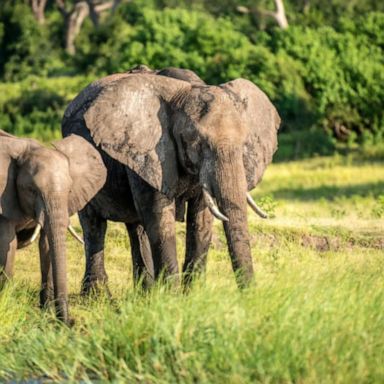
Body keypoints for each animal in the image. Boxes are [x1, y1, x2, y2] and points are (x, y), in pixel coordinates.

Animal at [0, 130, 106, 324]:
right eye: (31, 190)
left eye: (69, 191)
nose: (70, 322)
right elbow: (7, 245)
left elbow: (47, 245)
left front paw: (46, 314)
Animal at [62, 67, 280, 292]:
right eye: (198, 143)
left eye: (245, 143)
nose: (249, 295)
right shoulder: (150, 151)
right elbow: (159, 217)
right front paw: (172, 297)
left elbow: (201, 220)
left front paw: (191, 295)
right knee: (94, 226)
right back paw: (98, 297)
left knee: (136, 227)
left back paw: (145, 294)